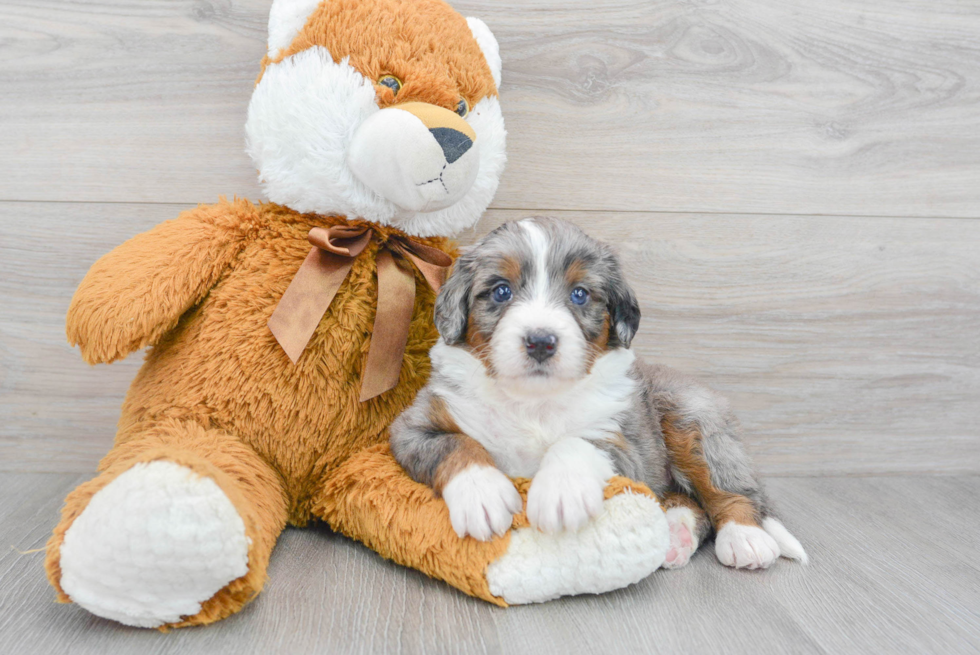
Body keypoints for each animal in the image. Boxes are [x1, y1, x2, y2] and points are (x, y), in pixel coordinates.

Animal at [386, 218, 808, 572]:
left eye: (579, 294)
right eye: (501, 291)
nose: (541, 341)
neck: (533, 402)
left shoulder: (627, 444)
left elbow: (575, 442)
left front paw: (561, 493)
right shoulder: (413, 425)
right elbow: (456, 444)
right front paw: (483, 494)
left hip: (691, 417)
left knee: (729, 490)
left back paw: (745, 537)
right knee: (687, 499)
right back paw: (676, 534)